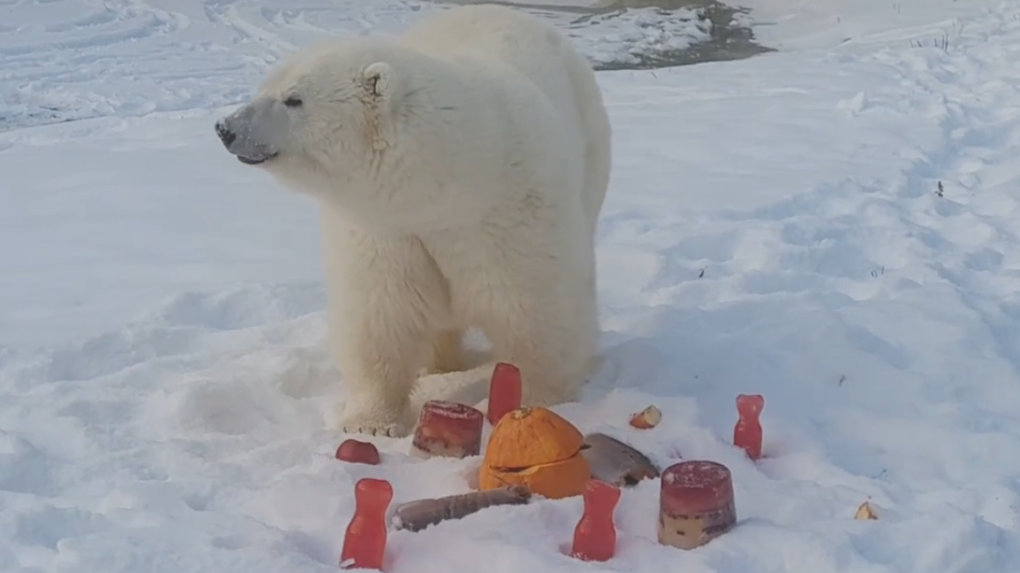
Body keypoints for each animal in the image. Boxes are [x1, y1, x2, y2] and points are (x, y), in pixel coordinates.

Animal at [214, 4, 607, 434]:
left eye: (293, 99)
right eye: (264, 88)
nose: (225, 128)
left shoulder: (510, 212)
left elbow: (535, 310)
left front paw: (542, 402)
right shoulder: (385, 231)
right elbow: (382, 315)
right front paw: (371, 422)